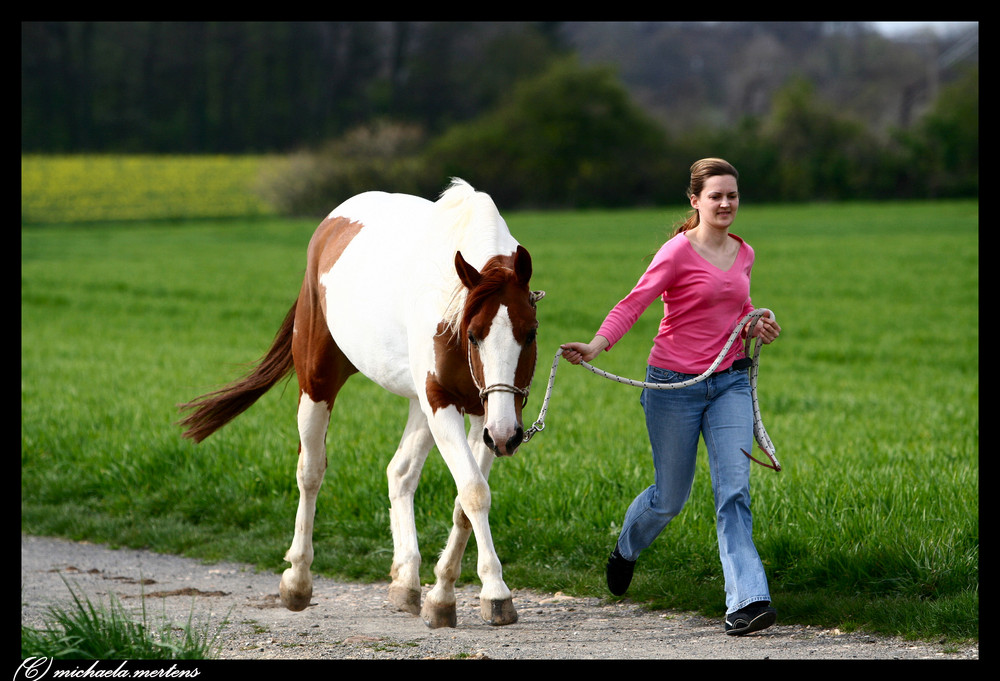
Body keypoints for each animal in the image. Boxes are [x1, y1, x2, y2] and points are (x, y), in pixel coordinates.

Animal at [176, 177, 544, 628]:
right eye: (473, 334)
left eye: (530, 332)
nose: (509, 436)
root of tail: (333, 221)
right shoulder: (443, 402)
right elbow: (474, 491)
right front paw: (494, 592)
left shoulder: (482, 414)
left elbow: (464, 498)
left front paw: (442, 595)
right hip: (318, 381)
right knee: (310, 471)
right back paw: (297, 581)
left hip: (424, 405)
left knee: (399, 473)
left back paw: (405, 582)